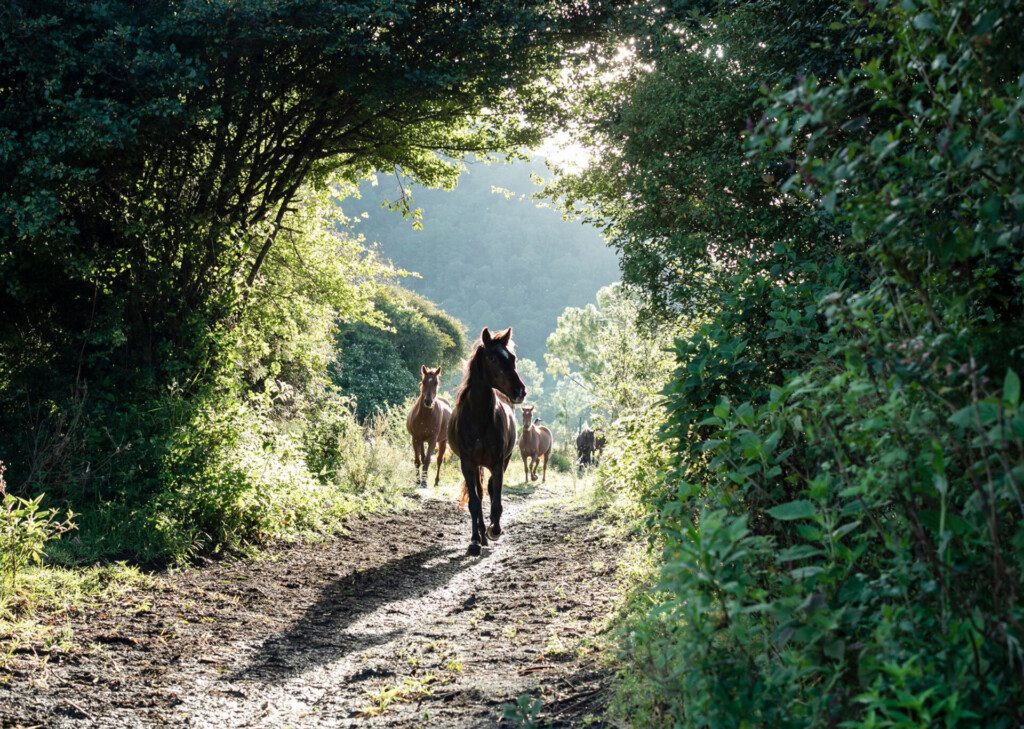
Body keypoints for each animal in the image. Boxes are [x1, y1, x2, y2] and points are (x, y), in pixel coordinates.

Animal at [448, 327, 528, 556]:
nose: (520, 391)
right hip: (476, 466)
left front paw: (495, 529)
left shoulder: (498, 462)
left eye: (512, 357)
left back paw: (490, 530)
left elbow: (497, 498)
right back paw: (482, 535)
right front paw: (475, 541)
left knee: (490, 490)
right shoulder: (467, 464)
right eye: (492, 358)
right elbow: (474, 503)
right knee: (480, 494)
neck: (479, 417)